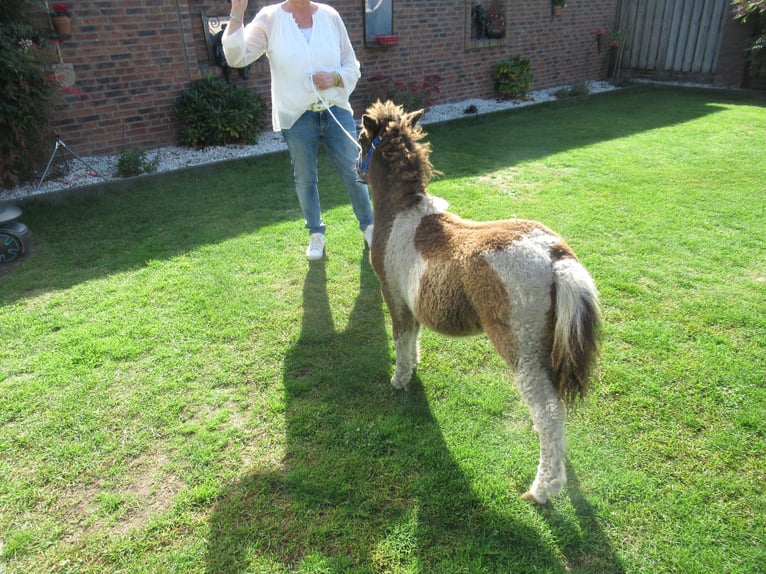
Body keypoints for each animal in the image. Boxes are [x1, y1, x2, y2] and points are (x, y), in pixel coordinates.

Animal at [357, 100, 602, 504]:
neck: (403, 214)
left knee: (548, 411)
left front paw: (400, 380)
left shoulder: (392, 295)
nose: (354, 169)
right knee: (554, 407)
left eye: (362, 138)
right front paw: (414, 366)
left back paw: (541, 490)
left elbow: (401, 339)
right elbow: (414, 337)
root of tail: (555, 255)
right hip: (546, 344)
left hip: (521, 346)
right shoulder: (411, 301)